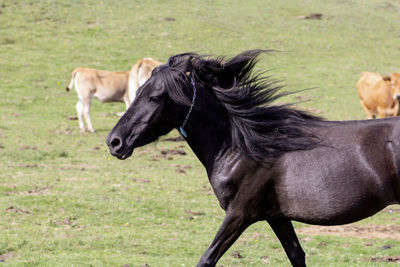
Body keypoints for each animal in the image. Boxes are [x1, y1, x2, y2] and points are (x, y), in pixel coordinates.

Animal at [106, 49, 400, 266]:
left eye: (155, 97)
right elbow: (297, 255)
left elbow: (206, 259)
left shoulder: (240, 213)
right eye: (138, 91)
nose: (114, 142)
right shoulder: (277, 216)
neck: (240, 146)